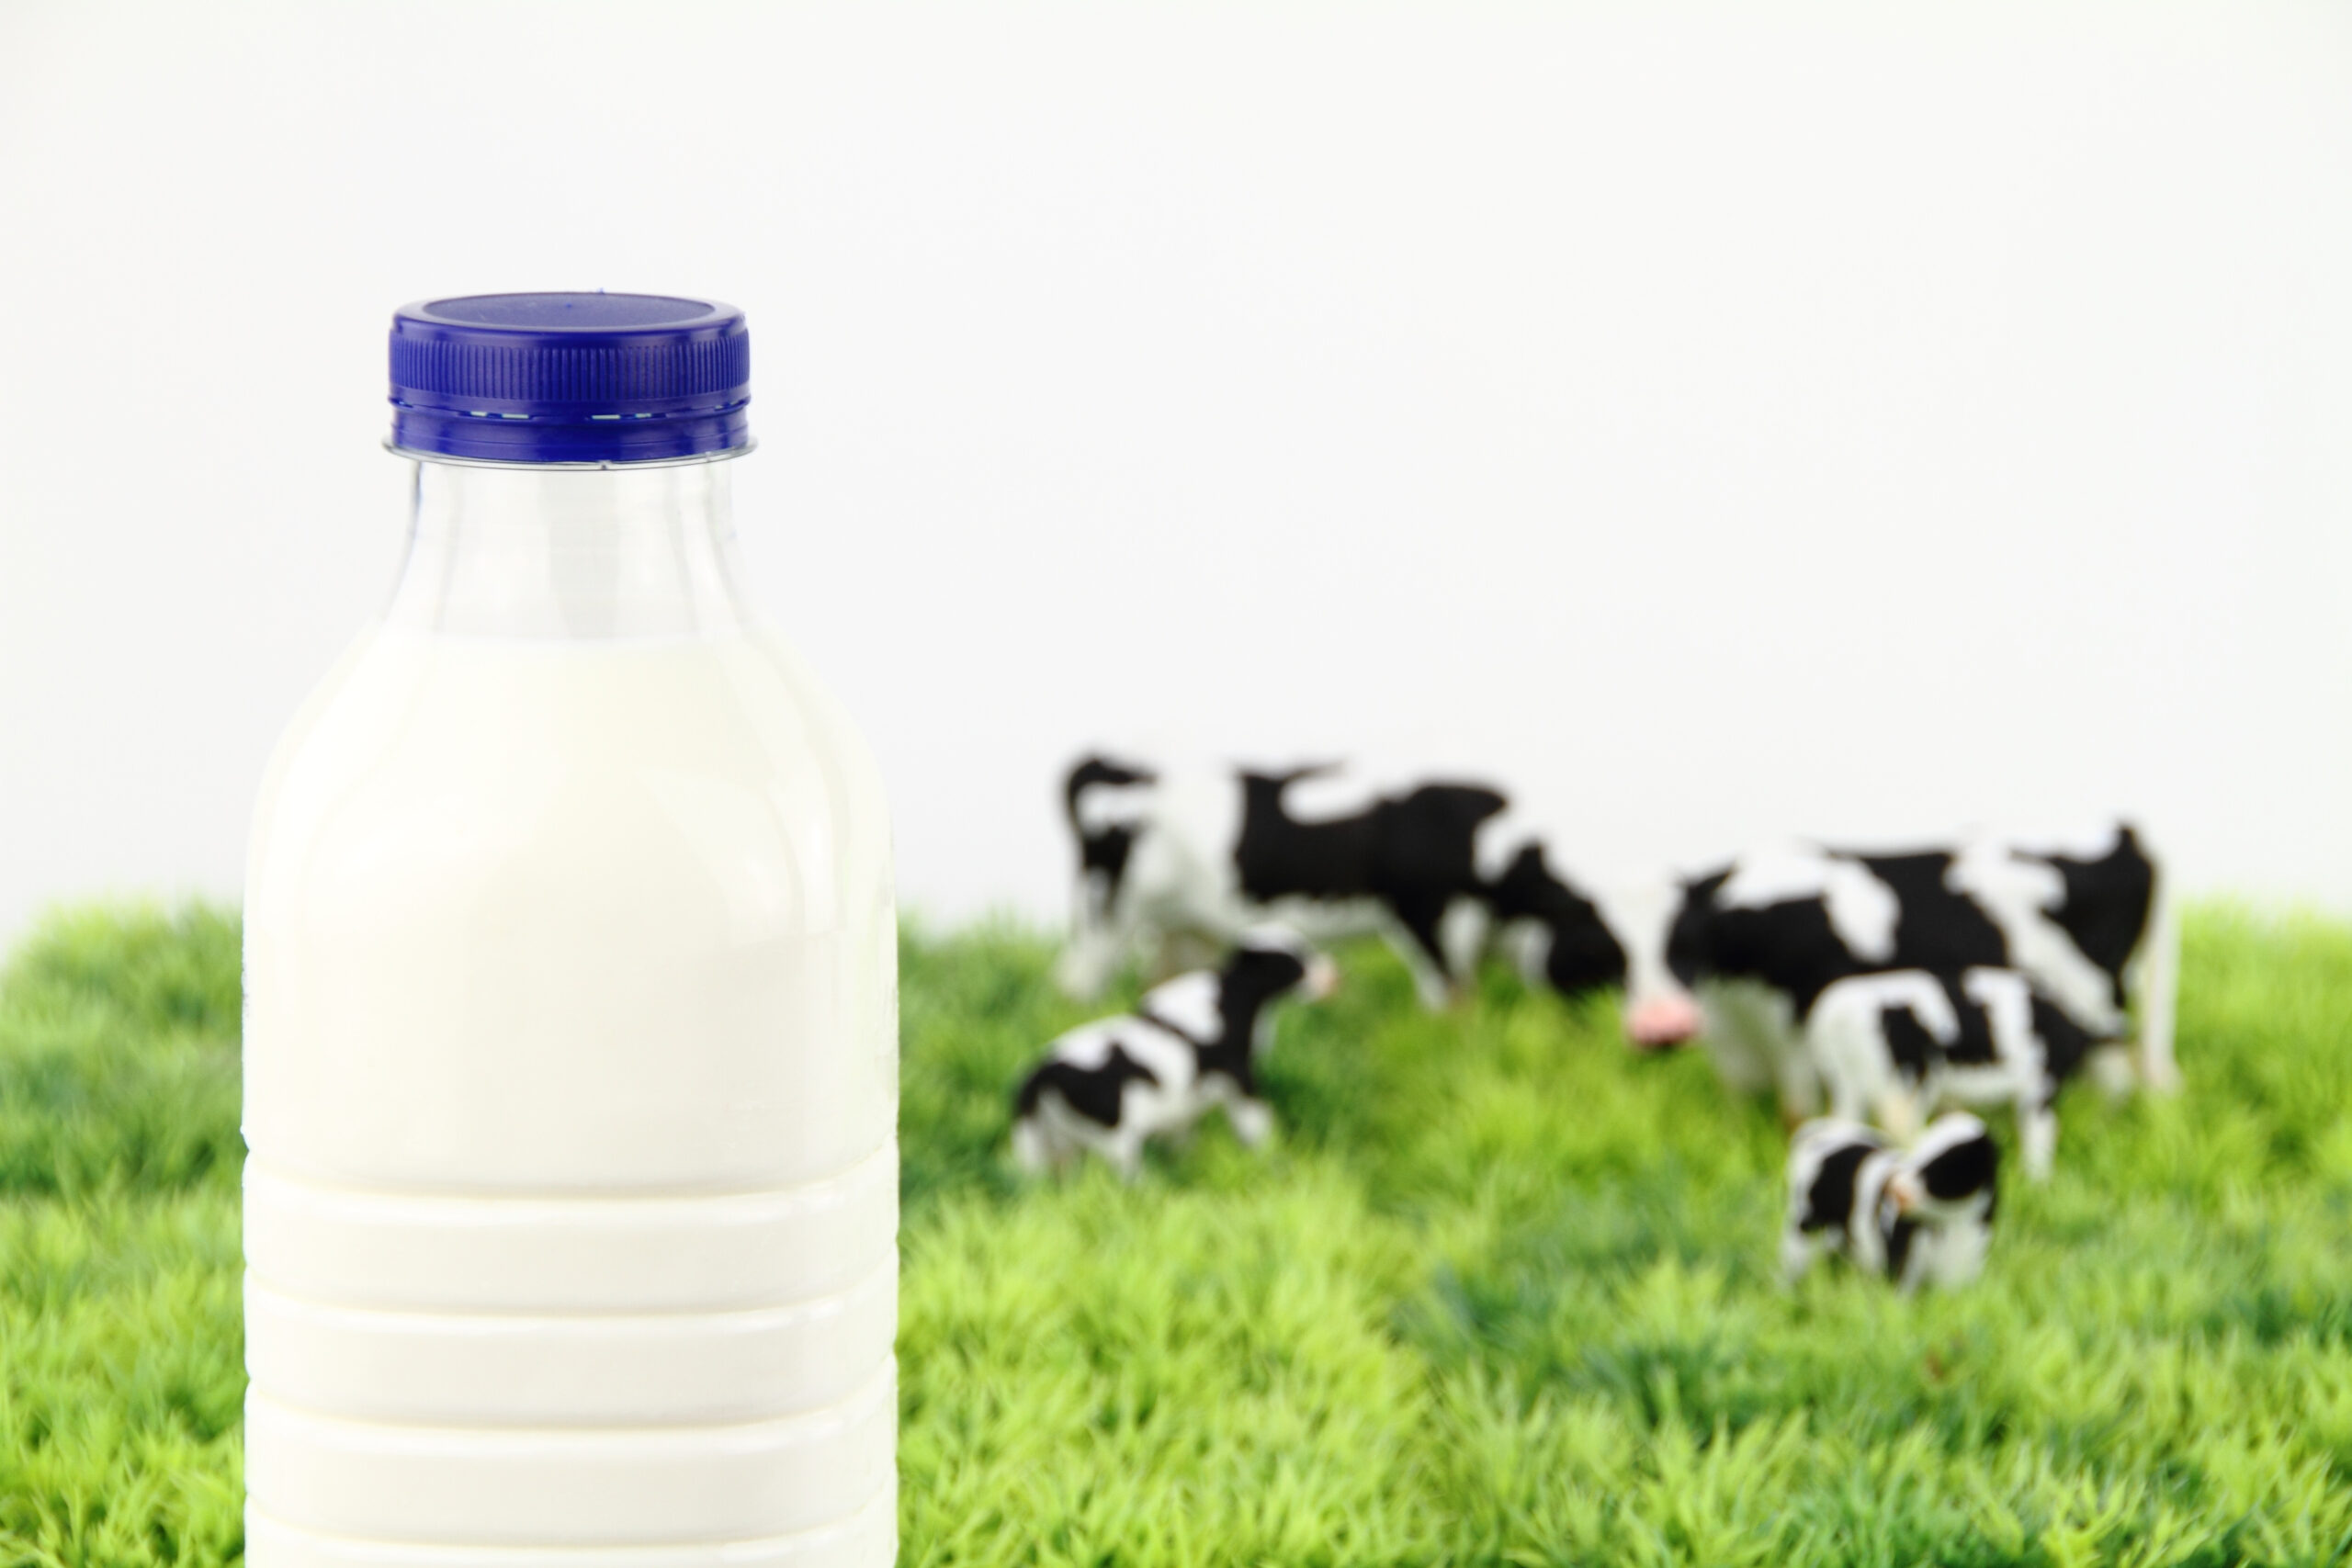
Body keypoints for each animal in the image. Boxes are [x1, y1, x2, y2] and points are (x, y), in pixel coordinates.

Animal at [1015, 931, 1345, 1175]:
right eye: (1292, 963)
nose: (1334, 977)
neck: (1232, 995)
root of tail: (1042, 1071)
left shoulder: (1185, 1103)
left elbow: (1184, 1135)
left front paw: (1187, 1160)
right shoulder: (1239, 1076)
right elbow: (1255, 1124)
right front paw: (1268, 1155)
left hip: (1056, 1143)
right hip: (1114, 1137)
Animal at [1778, 1109, 2004, 1297]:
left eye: (1944, 1166)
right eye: (1916, 1152)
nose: (1895, 1189)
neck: (1950, 1223)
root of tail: (1816, 1134)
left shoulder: (1966, 1261)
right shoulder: (1900, 1263)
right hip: (1804, 1229)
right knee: (1791, 1265)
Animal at [1796, 968, 2098, 1175]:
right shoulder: (2041, 1084)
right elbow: (2040, 1137)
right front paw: (2037, 1183)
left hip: (1847, 1084)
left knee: (1844, 1125)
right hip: (1906, 1086)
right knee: (1903, 1130)